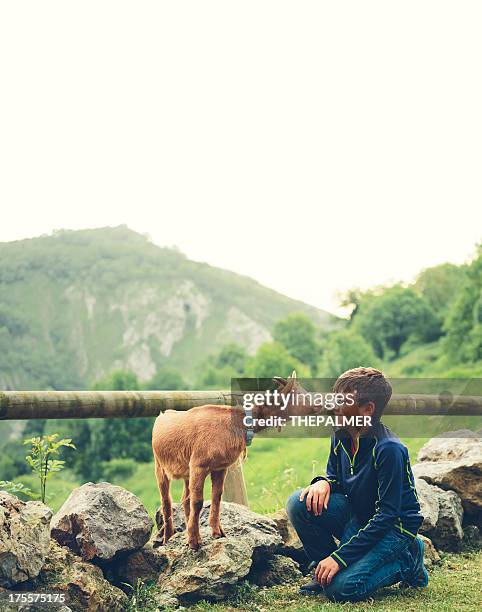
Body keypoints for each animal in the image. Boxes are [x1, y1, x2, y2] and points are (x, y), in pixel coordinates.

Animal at [153, 372, 314, 548]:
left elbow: (216, 496)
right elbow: (198, 501)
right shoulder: (198, 465)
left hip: (186, 472)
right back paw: (168, 537)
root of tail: (162, 415)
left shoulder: (219, 467)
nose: (320, 404)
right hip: (160, 466)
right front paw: (194, 542)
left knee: (184, 498)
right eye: (299, 394)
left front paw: (218, 533)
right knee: (166, 501)